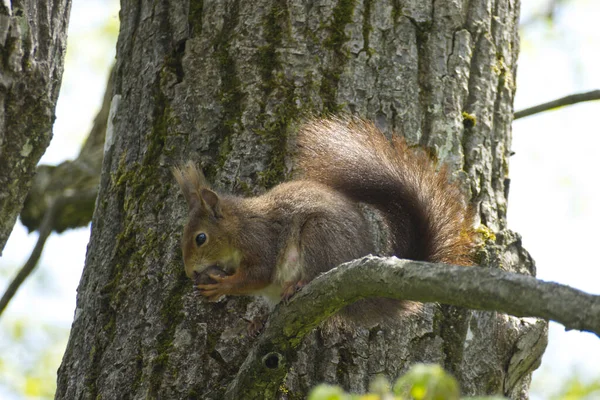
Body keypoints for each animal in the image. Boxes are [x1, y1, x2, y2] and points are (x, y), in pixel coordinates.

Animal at [172, 117, 474, 324]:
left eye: (201, 238)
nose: (189, 272)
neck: (237, 226)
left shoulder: (259, 240)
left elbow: (259, 274)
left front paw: (223, 286)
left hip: (319, 236)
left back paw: (298, 285)